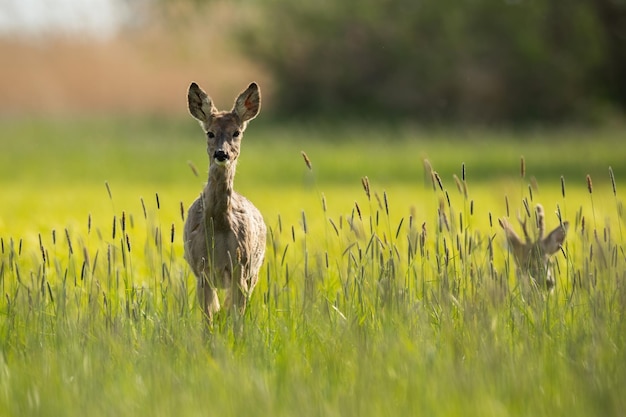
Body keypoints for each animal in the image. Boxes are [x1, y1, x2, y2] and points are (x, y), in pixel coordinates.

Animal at [183, 80, 266, 322]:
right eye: (210, 133)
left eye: (236, 132)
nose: (222, 154)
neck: (219, 226)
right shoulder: (201, 270)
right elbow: (207, 319)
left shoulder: (241, 267)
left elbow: (235, 319)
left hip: (253, 273)